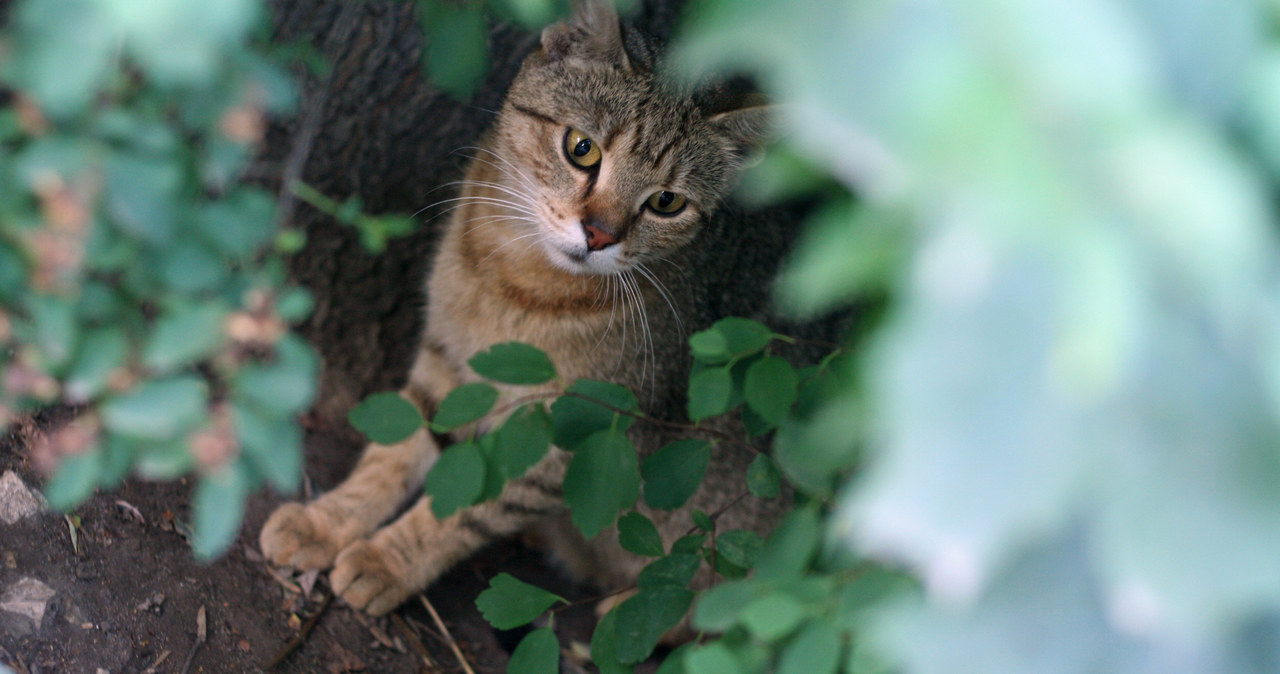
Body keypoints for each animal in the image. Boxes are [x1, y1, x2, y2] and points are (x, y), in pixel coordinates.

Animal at [254, 0, 803, 621]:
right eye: (582, 148)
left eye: (667, 202)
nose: (600, 235)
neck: (514, 281)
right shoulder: (447, 359)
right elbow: (393, 455)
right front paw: (327, 522)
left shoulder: (563, 435)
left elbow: (463, 509)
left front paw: (387, 560)